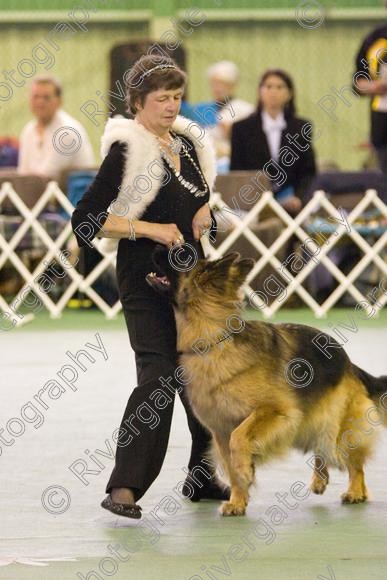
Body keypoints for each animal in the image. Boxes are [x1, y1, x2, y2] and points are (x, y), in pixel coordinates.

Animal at [147, 249, 386, 516]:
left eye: (181, 257)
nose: (155, 248)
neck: (214, 340)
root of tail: (349, 363)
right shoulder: (220, 431)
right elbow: (230, 463)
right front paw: (238, 500)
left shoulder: (274, 412)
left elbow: (239, 439)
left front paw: (245, 472)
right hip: (311, 424)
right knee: (321, 451)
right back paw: (320, 479)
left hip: (336, 427)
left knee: (352, 461)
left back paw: (356, 491)